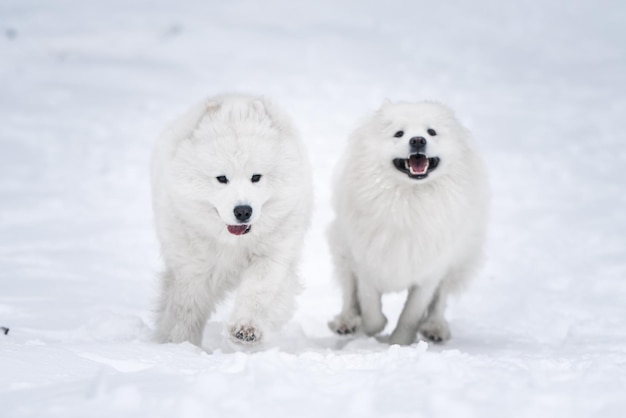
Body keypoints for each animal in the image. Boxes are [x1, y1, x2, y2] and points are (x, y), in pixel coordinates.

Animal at [149, 94, 310, 346]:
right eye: (222, 178)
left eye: (256, 177)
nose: (243, 211)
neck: (232, 243)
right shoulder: (191, 267)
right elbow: (185, 308)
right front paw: (180, 344)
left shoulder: (272, 255)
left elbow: (258, 291)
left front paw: (246, 329)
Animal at [326, 101, 488, 346]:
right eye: (399, 133)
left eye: (431, 132)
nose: (418, 140)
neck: (409, 203)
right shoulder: (366, 261)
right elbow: (370, 307)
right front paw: (373, 330)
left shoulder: (430, 271)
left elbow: (412, 313)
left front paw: (399, 342)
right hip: (342, 251)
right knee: (349, 293)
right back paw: (346, 322)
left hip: (459, 262)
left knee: (440, 301)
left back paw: (435, 328)